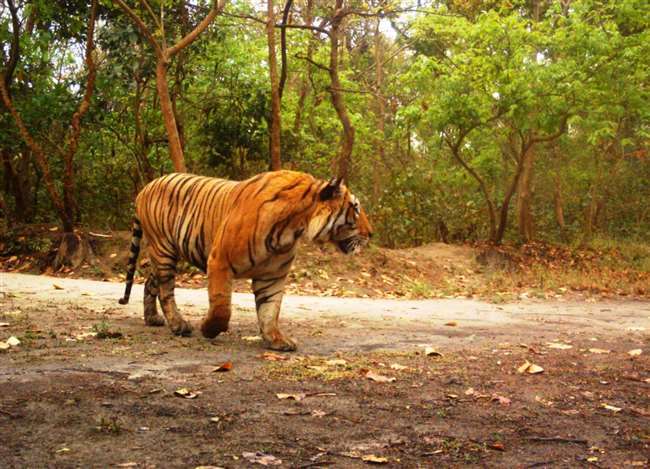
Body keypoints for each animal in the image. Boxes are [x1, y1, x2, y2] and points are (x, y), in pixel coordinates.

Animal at [118, 170, 372, 351]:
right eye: (356, 208)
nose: (371, 233)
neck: (294, 228)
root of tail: (145, 188)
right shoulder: (219, 260)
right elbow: (222, 307)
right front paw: (208, 329)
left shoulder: (273, 275)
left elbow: (270, 309)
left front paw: (276, 340)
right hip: (164, 249)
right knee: (165, 290)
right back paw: (179, 325)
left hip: (167, 253)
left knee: (151, 283)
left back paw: (153, 319)